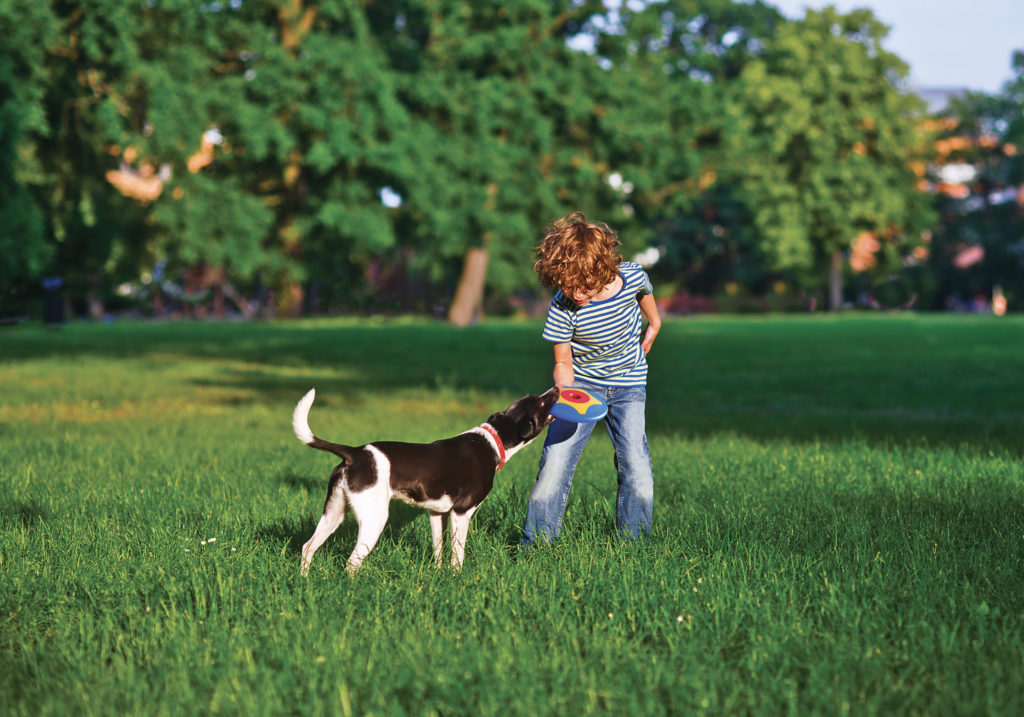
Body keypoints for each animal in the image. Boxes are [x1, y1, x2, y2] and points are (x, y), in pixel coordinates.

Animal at [292, 387, 557, 569]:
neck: (492, 441)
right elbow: (457, 555)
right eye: (541, 402)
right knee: (352, 561)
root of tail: (355, 453)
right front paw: (456, 578)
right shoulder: (461, 512)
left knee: (308, 547)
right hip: (374, 519)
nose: (556, 388)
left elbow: (438, 550)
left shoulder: (436, 513)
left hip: (333, 514)